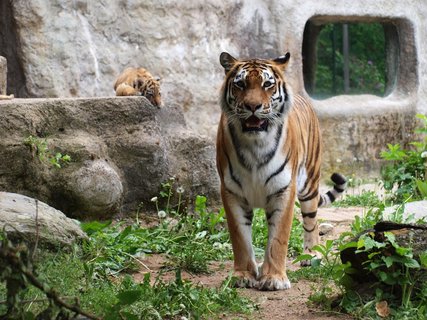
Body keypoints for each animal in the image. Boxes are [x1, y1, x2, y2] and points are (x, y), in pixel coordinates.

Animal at [217, 52, 348, 290]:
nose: (253, 106)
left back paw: (311, 255)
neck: (255, 145)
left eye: (267, 84)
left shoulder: (284, 189)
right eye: (240, 84)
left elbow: (278, 238)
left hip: (309, 184)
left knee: (312, 221)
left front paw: (274, 278)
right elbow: (240, 238)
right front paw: (243, 275)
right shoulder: (232, 192)